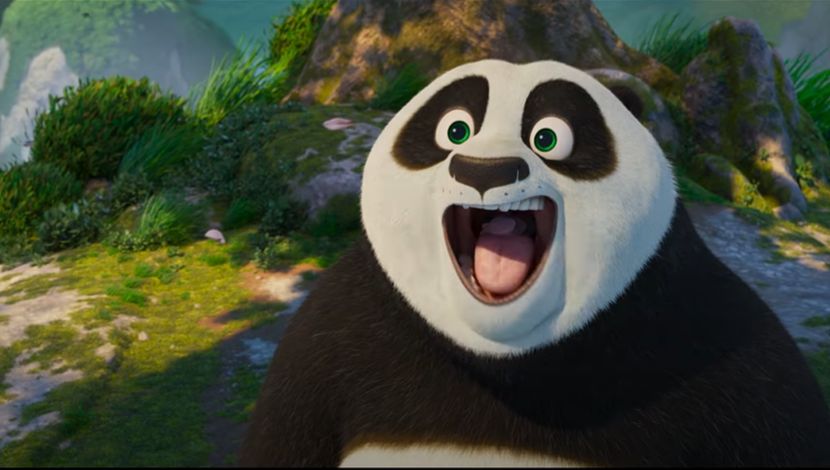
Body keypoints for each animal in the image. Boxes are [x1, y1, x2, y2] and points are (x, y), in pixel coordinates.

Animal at [239, 59, 830, 467]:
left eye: (548, 137)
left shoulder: (720, 345)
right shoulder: (331, 340)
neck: (504, 354)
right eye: (455, 130)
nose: (486, 170)